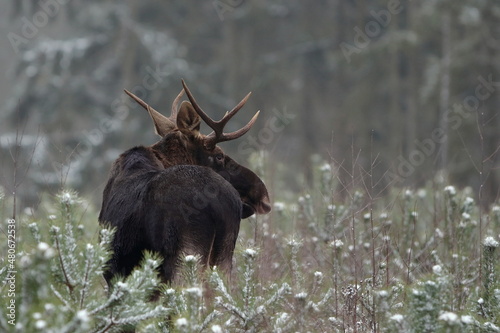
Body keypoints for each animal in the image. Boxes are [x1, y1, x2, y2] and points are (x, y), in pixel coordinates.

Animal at [97, 79, 270, 284]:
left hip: (185, 256)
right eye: (219, 156)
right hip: (223, 258)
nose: (264, 196)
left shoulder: (113, 272)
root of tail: (219, 205)